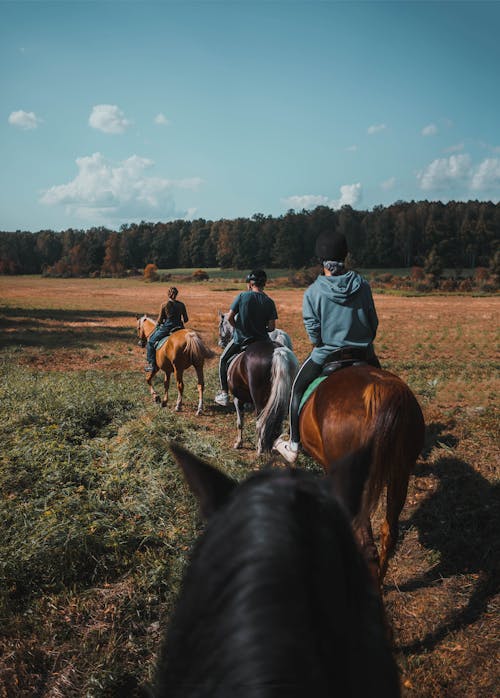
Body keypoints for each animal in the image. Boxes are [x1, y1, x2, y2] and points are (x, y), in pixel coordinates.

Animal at [217, 312, 298, 454]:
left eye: (220, 325)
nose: (220, 343)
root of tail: (278, 351)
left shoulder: (238, 398)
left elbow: (240, 422)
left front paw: (238, 443)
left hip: (259, 399)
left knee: (261, 421)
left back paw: (260, 449)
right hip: (286, 395)